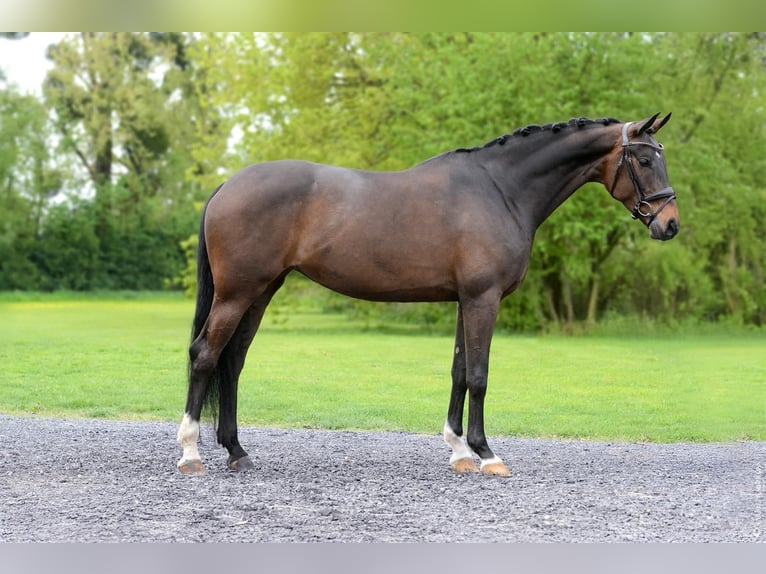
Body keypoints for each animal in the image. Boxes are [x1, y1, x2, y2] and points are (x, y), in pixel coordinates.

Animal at [177, 113, 679, 477]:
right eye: (645, 161)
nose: (669, 224)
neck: (500, 190)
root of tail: (227, 186)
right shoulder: (483, 299)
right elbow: (478, 375)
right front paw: (486, 454)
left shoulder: (464, 300)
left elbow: (458, 371)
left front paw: (458, 450)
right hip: (238, 293)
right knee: (205, 355)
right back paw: (191, 454)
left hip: (261, 291)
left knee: (233, 361)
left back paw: (237, 451)